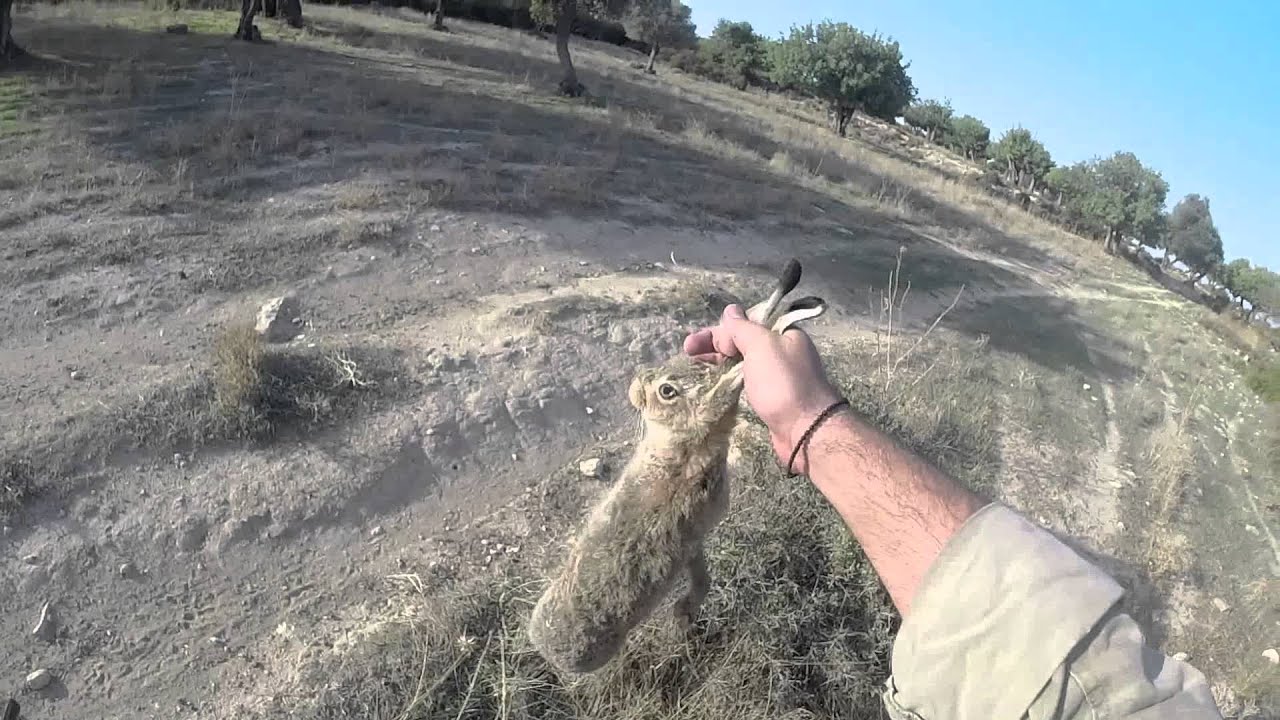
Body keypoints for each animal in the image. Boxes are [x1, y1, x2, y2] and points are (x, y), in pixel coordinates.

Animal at [528, 260, 826, 674]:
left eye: (666, 391)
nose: (637, 381)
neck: (685, 449)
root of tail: (547, 647)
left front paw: (683, 616)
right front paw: (684, 616)